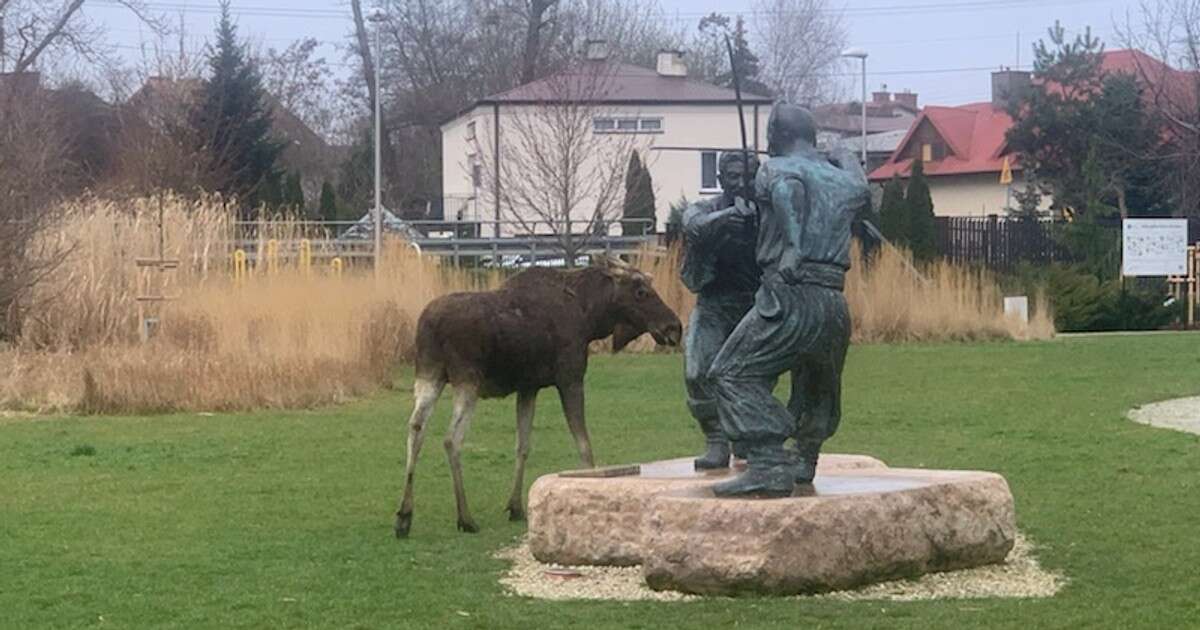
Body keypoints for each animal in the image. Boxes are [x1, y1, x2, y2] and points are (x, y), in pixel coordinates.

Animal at [391, 255, 681, 535]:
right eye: (641, 291)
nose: (674, 327)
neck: (590, 317)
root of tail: (430, 326)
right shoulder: (570, 379)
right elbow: (584, 445)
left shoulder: (528, 388)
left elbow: (523, 445)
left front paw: (516, 507)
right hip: (467, 380)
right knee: (451, 439)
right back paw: (465, 518)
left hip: (429, 375)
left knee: (416, 427)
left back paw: (404, 516)